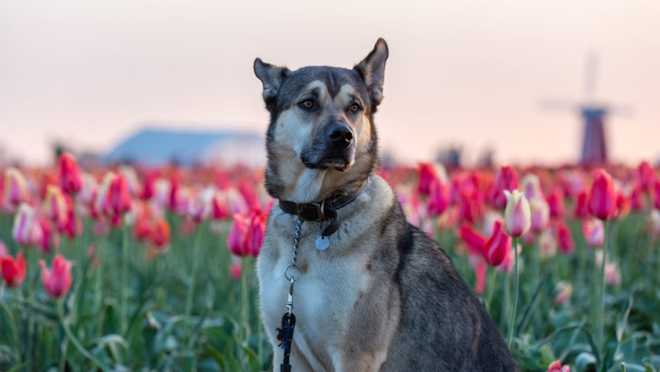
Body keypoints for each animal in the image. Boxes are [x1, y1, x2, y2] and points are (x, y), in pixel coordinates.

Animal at [253, 38, 516, 372]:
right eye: (308, 103)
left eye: (354, 107)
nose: (342, 137)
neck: (313, 214)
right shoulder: (287, 348)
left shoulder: (356, 354)